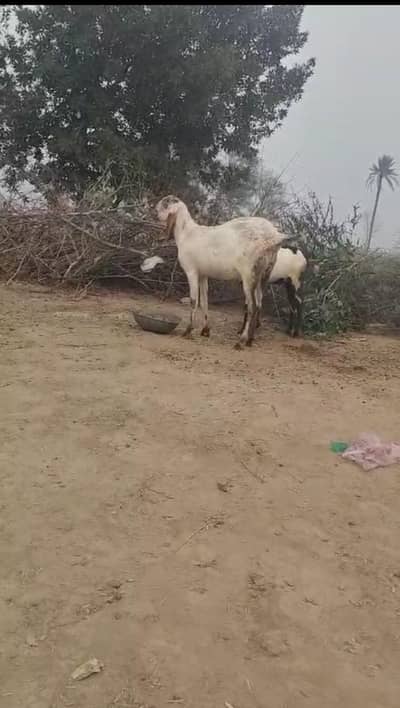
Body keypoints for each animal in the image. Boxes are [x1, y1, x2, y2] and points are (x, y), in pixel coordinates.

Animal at [155, 195, 291, 348]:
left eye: (164, 206)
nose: (156, 214)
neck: (187, 233)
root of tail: (274, 236)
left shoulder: (192, 271)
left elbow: (193, 301)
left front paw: (188, 330)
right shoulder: (203, 274)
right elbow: (204, 302)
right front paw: (205, 330)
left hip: (248, 276)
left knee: (252, 307)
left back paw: (241, 341)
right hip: (263, 276)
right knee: (259, 304)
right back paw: (250, 340)